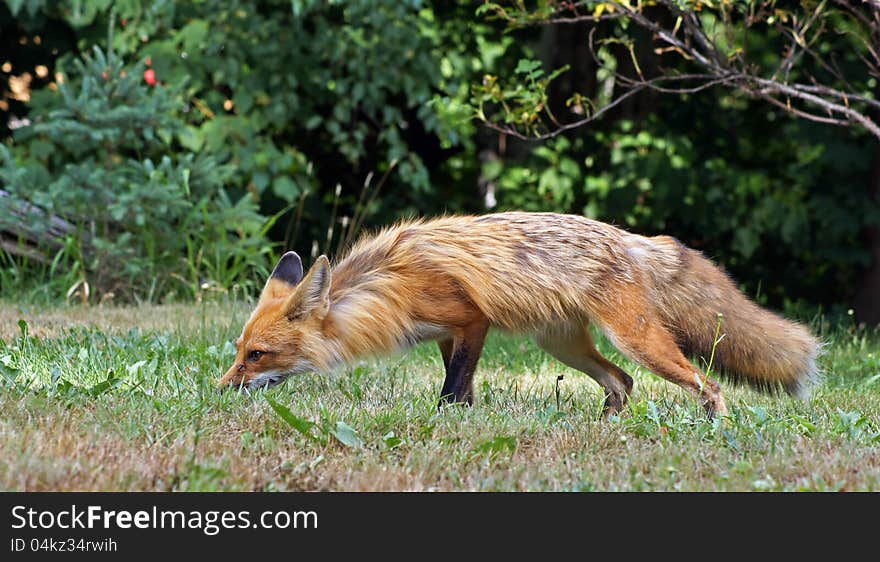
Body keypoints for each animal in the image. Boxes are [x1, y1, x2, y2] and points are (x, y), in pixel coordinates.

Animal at [218, 210, 820, 416]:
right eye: (239, 352)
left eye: (258, 355)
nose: (218, 391)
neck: (385, 286)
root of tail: (634, 240)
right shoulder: (447, 333)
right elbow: (460, 383)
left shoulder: (470, 320)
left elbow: (452, 388)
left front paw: (448, 422)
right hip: (562, 345)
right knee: (621, 382)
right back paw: (607, 428)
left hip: (637, 340)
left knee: (707, 385)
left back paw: (714, 428)